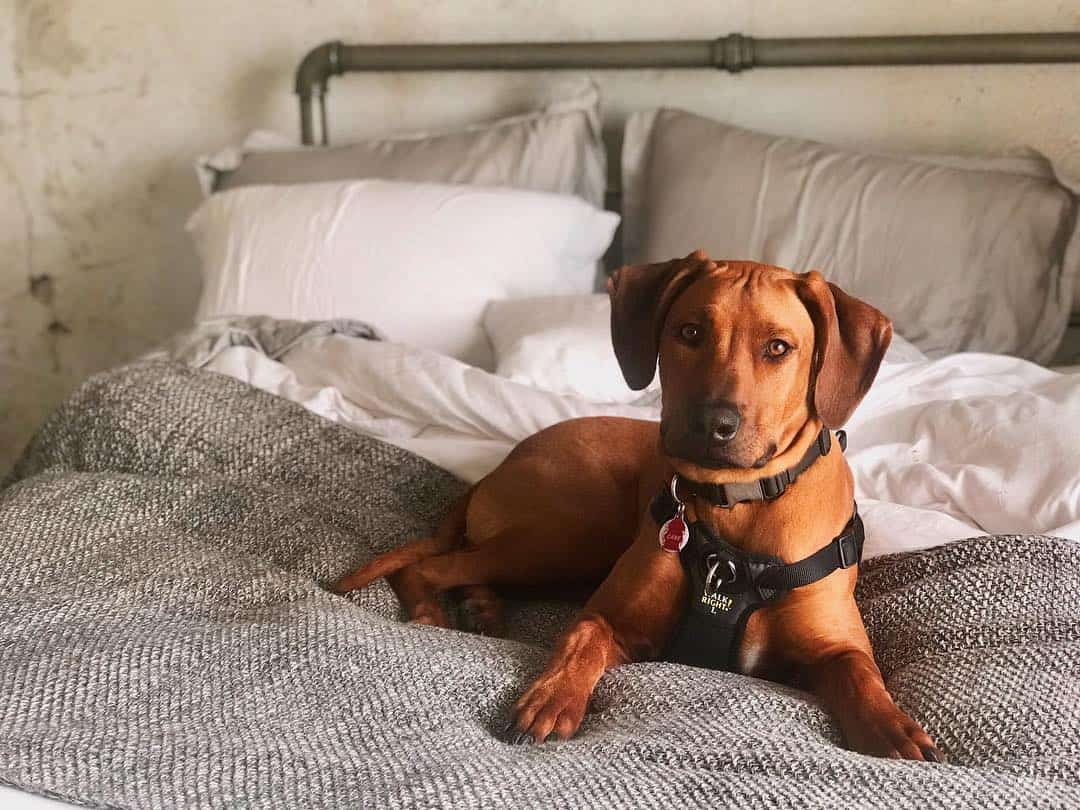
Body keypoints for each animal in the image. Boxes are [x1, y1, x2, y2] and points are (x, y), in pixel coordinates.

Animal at [332, 250, 941, 764]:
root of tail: (500, 463)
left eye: (778, 347)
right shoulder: (616, 621)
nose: (712, 425)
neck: (738, 510)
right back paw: (434, 612)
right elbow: (582, 637)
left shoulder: (836, 647)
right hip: (566, 539)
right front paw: (551, 698)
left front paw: (892, 730)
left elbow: (860, 672)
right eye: (689, 332)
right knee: (426, 566)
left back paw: (479, 606)